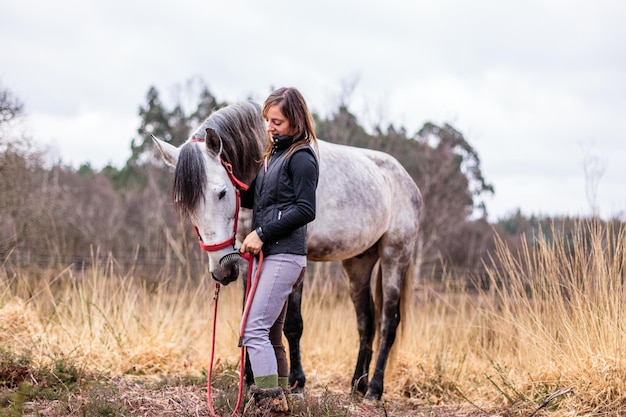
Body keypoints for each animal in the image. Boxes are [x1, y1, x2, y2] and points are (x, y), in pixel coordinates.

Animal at [154, 100, 422, 400]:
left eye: (221, 193)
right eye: (184, 203)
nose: (221, 272)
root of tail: (405, 179)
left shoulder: (296, 259)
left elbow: (293, 325)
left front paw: (296, 382)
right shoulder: (246, 258)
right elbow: (249, 312)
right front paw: (249, 378)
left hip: (394, 256)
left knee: (388, 322)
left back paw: (374, 389)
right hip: (358, 263)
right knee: (366, 322)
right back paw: (357, 385)